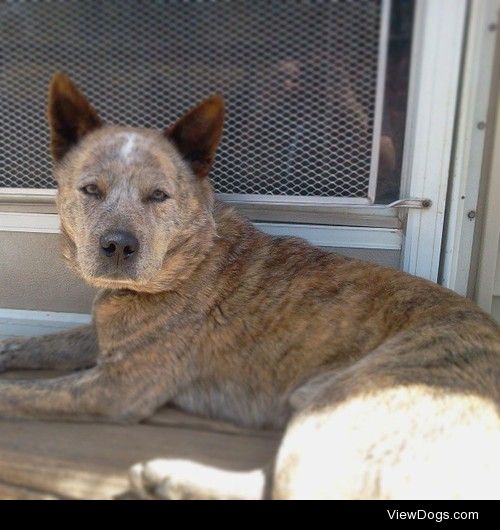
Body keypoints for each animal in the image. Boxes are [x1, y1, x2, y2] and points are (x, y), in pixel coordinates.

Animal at [0, 72, 500, 498]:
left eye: (159, 196)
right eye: (91, 190)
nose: (118, 246)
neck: (191, 256)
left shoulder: (116, 388)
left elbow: (19, 392)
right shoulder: (101, 338)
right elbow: (36, 344)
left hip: (338, 409)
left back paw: (168, 475)